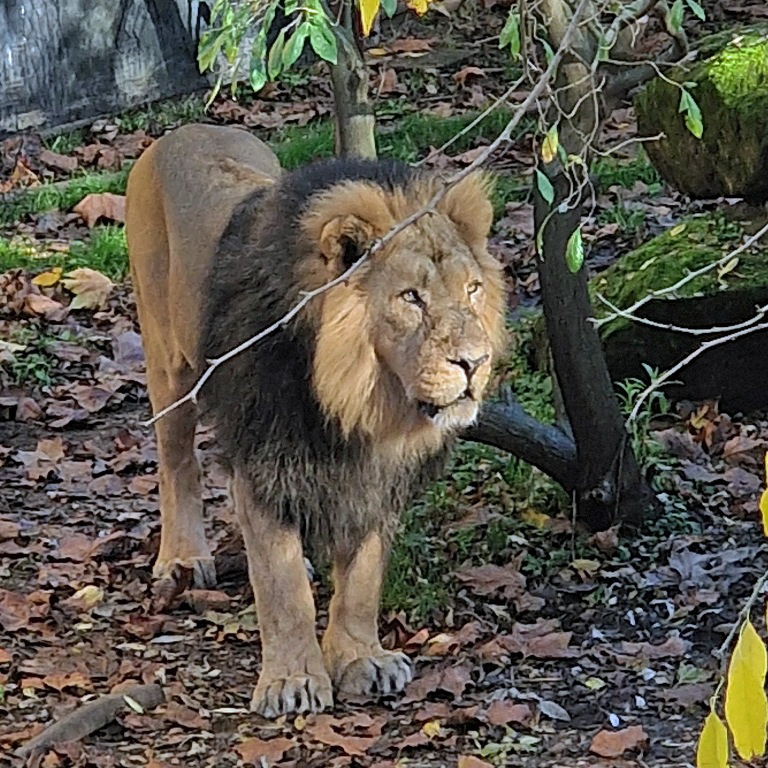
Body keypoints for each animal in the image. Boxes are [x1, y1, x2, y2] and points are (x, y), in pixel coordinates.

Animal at [125, 123, 506, 718]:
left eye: (472, 290)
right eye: (411, 298)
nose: (475, 362)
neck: (360, 404)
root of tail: (186, 129)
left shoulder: (375, 480)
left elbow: (363, 578)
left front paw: (361, 659)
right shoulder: (263, 457)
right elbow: (282, 590)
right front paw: (293, 681)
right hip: (169, 362)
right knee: (177, 461)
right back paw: (183, 558)